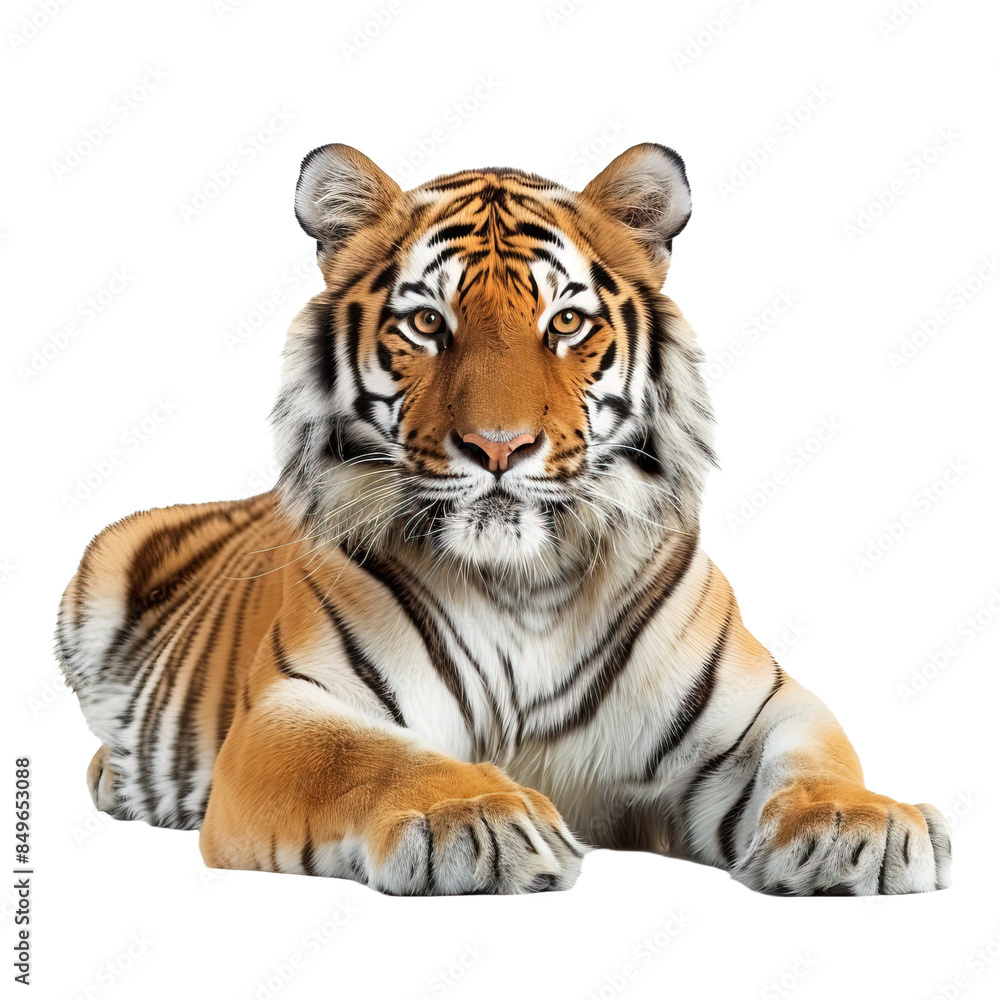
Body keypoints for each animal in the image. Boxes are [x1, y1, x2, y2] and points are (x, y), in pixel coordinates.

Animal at [55, 142, 952, 896]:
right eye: (427, 323)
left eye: (566, 322)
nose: (499, 446)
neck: (528, 584)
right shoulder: (289, 710)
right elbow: (365, 757)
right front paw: (474, 817)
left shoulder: (757, 710)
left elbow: (815, 755)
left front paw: (858, 823)